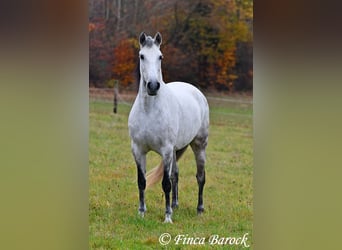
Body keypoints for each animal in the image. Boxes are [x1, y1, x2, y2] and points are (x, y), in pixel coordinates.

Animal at [127, 31, 208, 223]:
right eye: (142, 56)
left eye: (160, 56)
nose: (153, 86)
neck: (149, 111)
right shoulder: (138, 150)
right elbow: (142, 181)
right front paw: (141, 213)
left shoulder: (165, 150)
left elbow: (165, 183)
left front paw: (167, 218)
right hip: (175, 150)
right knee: (175, 175)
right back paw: (174, 205)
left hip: (199, 145)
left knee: (200, 177)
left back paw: (199, 209)